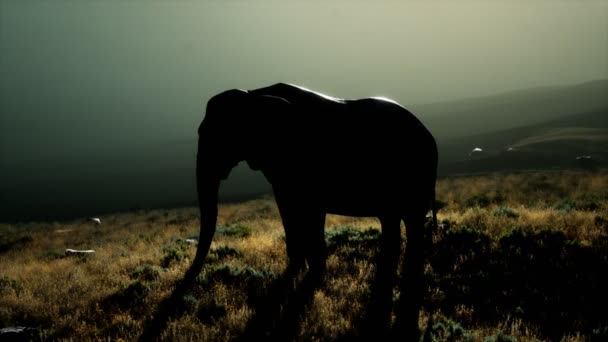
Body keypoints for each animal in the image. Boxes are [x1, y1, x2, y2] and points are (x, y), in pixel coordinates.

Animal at [186, 83, 436, 340]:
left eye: (219, 135)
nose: (188, 276)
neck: (254, 94)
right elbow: (287, 209)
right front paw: (297, 270)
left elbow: (312, 212)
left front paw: (311, 276)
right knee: (391, 221)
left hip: (416, 173)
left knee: (412, 222)